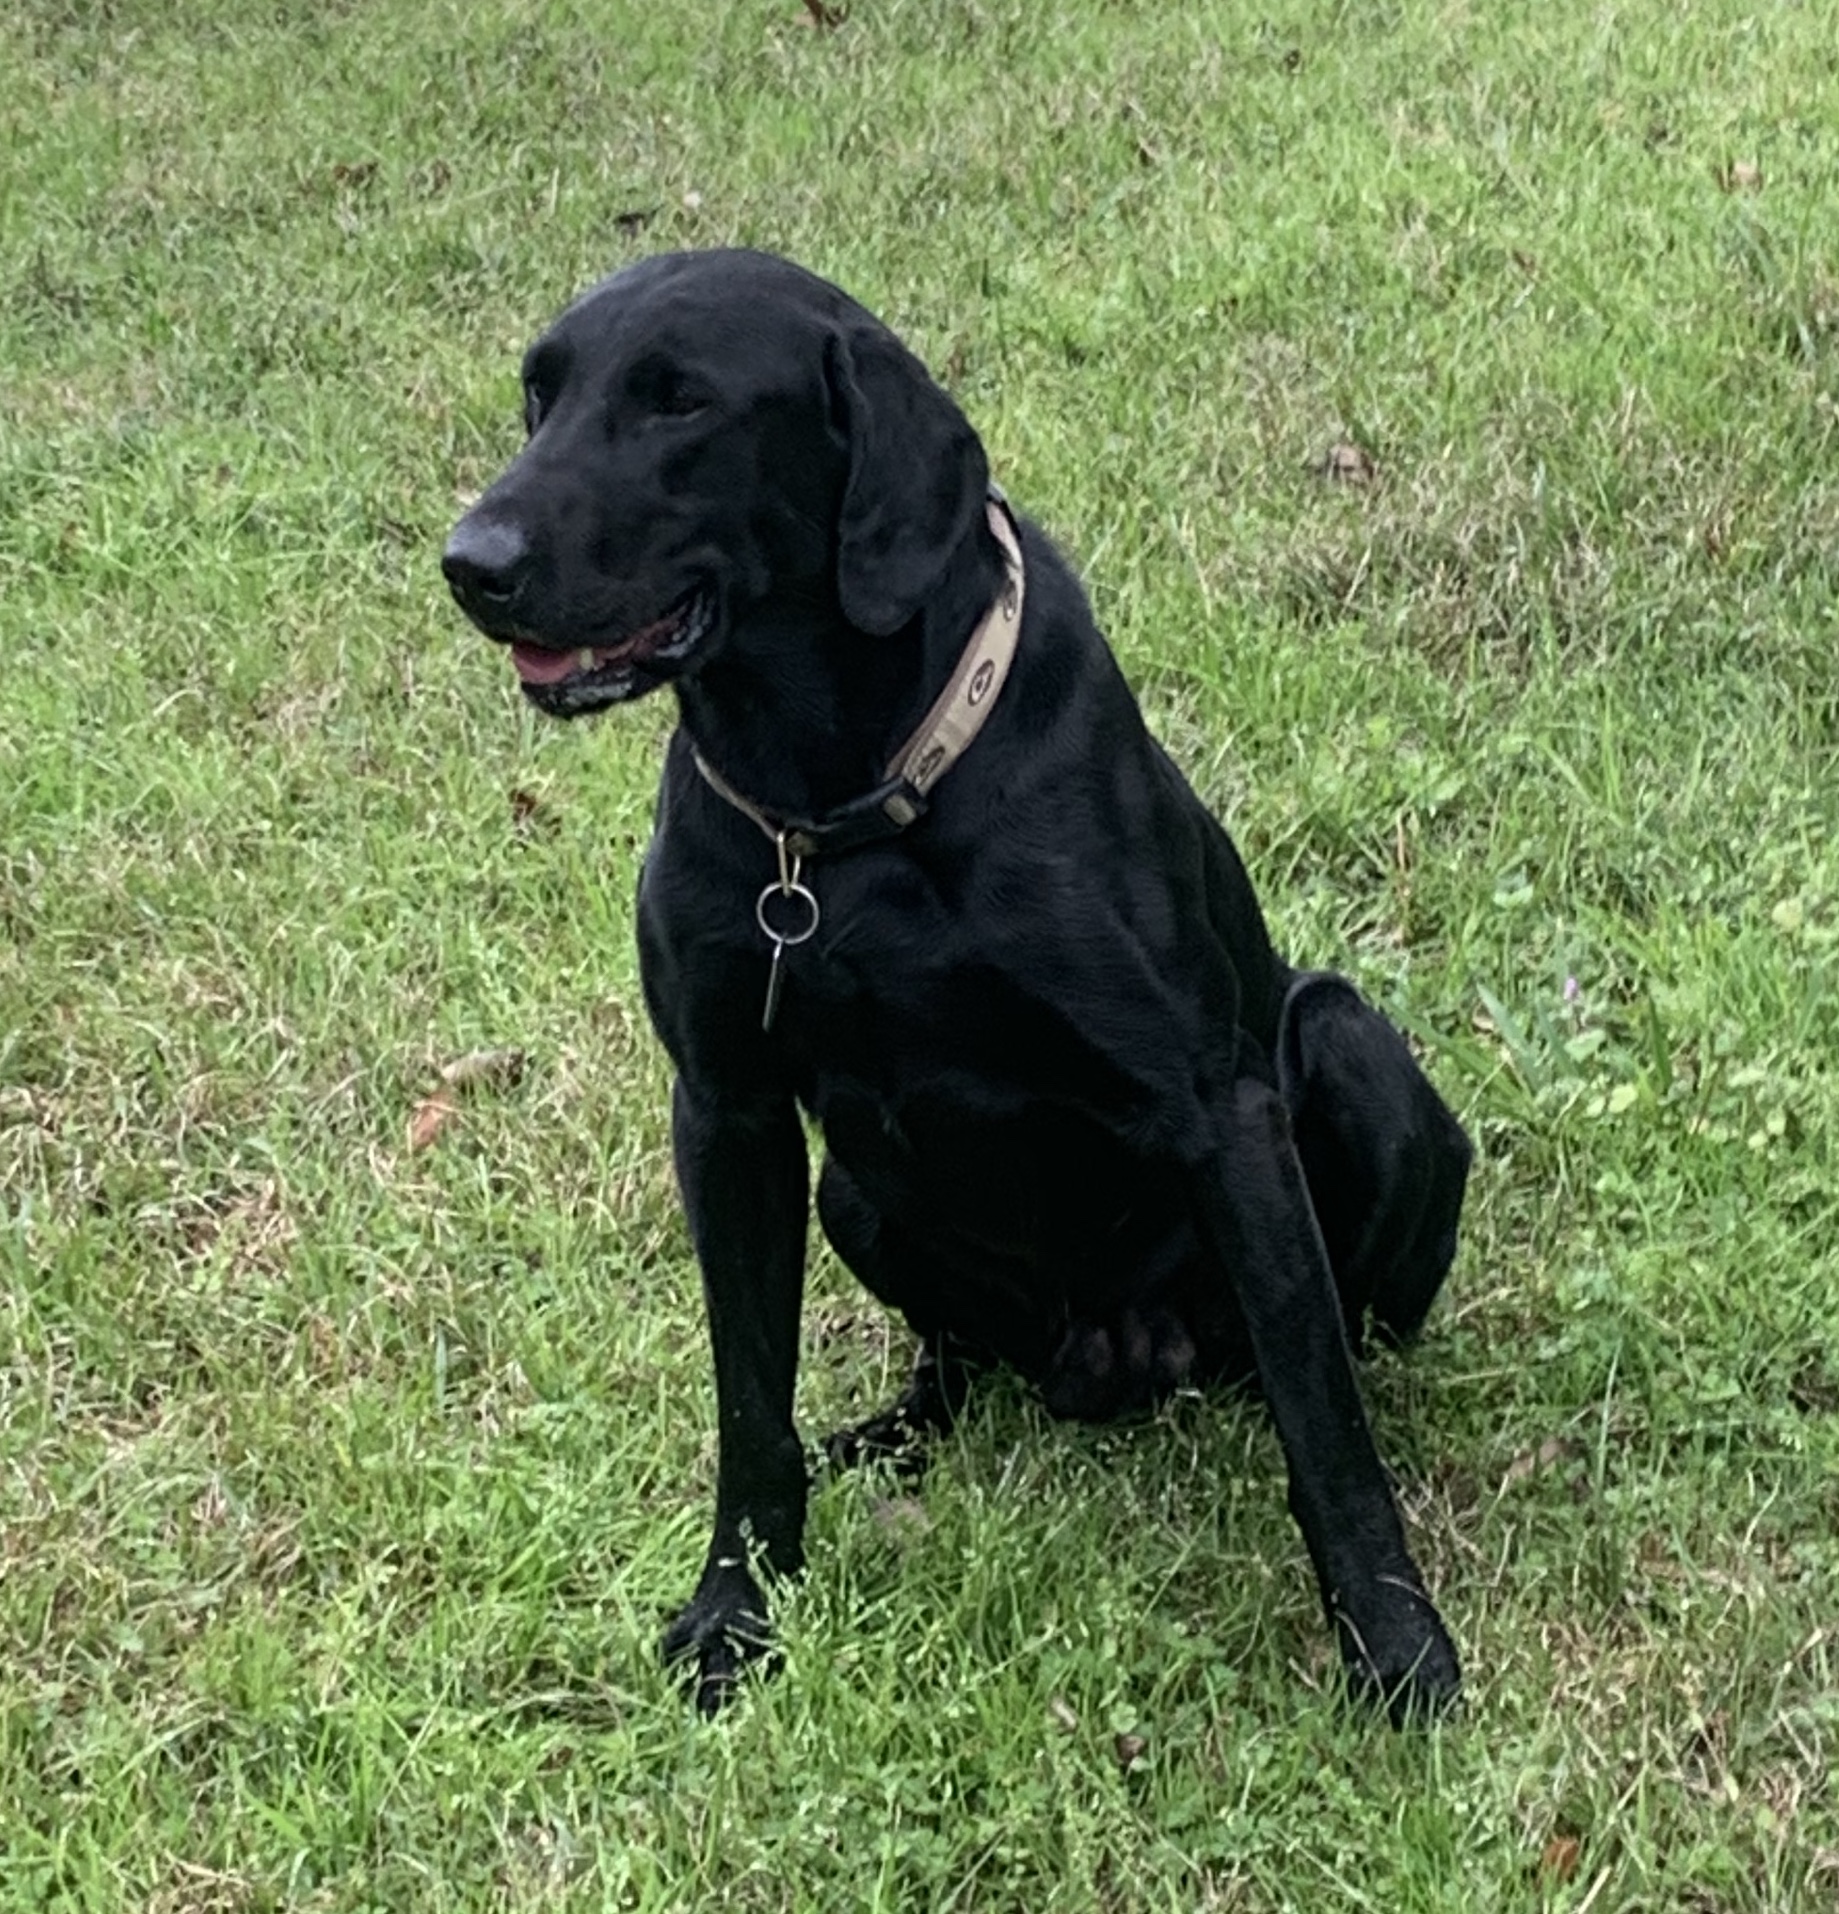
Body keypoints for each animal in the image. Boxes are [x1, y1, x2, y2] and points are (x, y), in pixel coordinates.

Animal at [438, 246, 1469, 1730]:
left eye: (680, 401)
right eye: (538, 395)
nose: (473, 565)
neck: (834, 816)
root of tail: (1116, 1358)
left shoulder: (1219, 1110)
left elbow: (1323, 1424)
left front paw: (1395, 1647)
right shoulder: (728, 1115)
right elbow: (749, 1406)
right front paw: (737, 1609)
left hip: (1341, 1049)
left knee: (1334, 1344)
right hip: (858, 1198)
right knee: (952, 1365)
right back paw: (883, 1437)